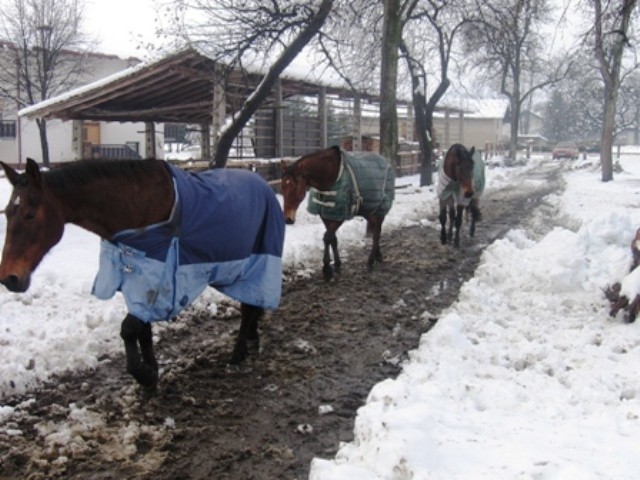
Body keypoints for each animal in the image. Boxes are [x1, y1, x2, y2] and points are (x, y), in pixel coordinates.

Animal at [0, 159, 284, 392]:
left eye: (30, 215)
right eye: (7, 213)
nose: (9, 278)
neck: (139, 212)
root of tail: (264, 185)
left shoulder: (157, 280)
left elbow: (128, 329)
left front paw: (144, 374)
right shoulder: (139, 281)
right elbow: (143, 330)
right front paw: (151, 372)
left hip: (258, 263)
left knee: (248, 308)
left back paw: (237, 355)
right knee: (252, 305)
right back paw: (252, 340)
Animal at [282, 146, 396, 282]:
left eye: (295, 187)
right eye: (282, 188)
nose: (288, 219)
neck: (330, 175)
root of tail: (386, 162)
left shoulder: (339, 216)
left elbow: (327, 237)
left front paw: (327, 269)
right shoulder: (326, 214)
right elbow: (333, 239)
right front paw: (336, 265)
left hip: (379, 210)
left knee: (377, 233)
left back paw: (370, 262)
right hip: (369, 210)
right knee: (375, 231)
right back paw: (378, 256)